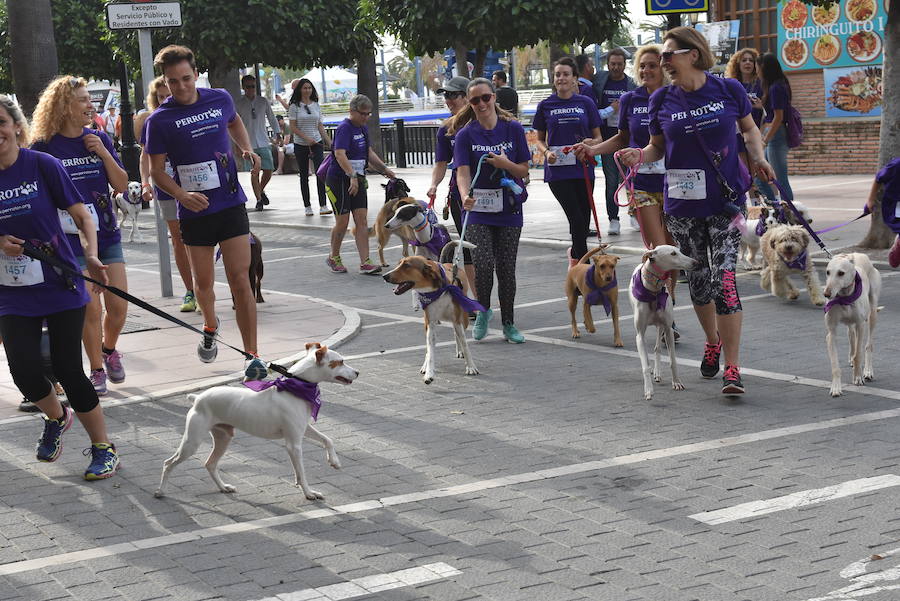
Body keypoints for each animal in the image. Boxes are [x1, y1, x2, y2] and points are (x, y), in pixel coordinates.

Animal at [156, 340, 356, 500]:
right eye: (340, 362)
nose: (358, 372)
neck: (297, 387)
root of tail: (197, 398)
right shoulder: (293, 444)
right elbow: (302, 473)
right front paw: (308, 493)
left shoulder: (303, 429)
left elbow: (327, 440)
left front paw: (334, 461)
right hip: (192, 442)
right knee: (168, 463)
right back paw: (160, 491)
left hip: (223, 438)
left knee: (210, 464)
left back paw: (224, 487)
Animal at [380, 250, 478, 384]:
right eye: (399, 263)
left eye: (406, 265)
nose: (385, 276)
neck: (437, 291)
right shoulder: (430, 322)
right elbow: (430, 350)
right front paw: (429, 373)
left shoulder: (458, 320)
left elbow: (465, 344)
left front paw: (471, 367)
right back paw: (425, 366)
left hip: (463, 319)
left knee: (457, 334)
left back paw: (459, 351)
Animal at [628, 244, 700, 398]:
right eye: (673, 253)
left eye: (679, 251)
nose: (696, 262)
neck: (653, 291)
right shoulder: (640, 335)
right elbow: (645, 364)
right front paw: (648, 390)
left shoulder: (668, 329)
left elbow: (673, 360)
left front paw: (676, 382)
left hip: (660, 325)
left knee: (657, 348)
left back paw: (658, 372)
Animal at [824, 252, 880, 396]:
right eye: (827, 272)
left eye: (841, 273)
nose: (826, 294)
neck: (845, 297)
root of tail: (858, 254)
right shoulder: (831, 333)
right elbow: (835, 364)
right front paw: (836, 387)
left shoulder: (861, 325)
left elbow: (859, 354)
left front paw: (858, 377)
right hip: (850, 323)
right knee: (851, 335)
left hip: (872, 313)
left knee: (868, 345)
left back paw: (867, 370)